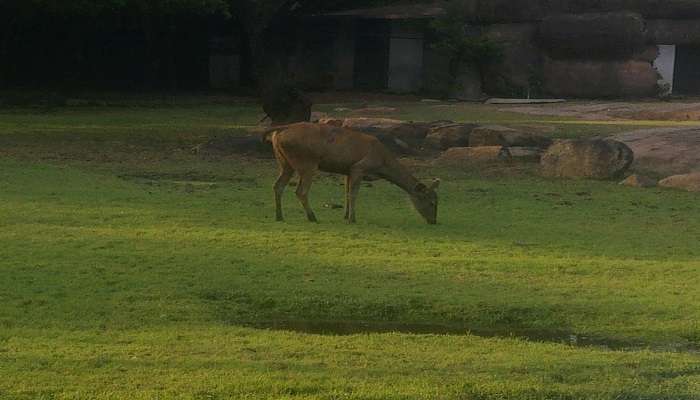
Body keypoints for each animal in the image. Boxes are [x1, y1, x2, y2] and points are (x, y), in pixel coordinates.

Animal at [262, 122, 438, 223]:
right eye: (432, 202)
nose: (434, 221)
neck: (382, 165)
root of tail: (279, 131)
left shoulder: (347, 170)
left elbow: (346, 192)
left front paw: (346, 215)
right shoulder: (359, 167)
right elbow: (353, 194)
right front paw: (352, 219)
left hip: (284, 162)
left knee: (277, 186)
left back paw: (279, 216)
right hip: (307, 163)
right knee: (301, 191)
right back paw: (312, 217)